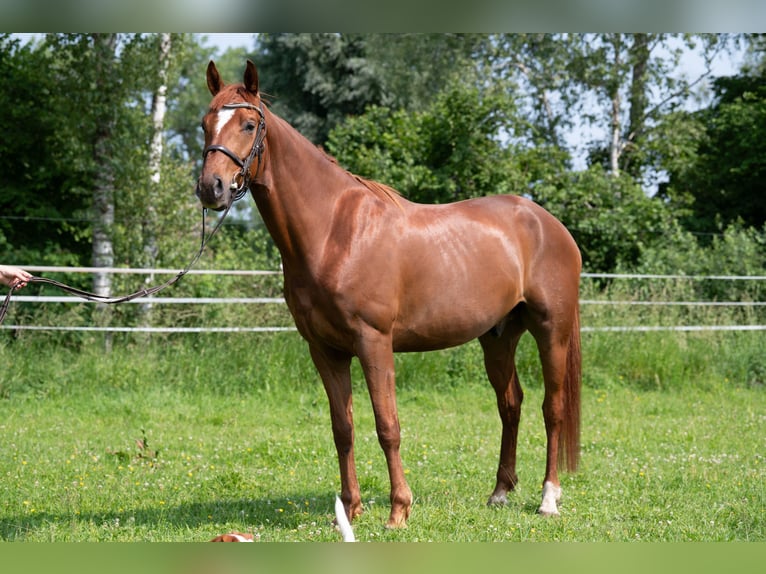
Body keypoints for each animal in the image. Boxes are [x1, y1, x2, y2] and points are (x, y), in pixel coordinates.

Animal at [197, 60, 582, 528]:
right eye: (205, 124)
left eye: (249, 125)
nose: (211, 188)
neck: (335, 232)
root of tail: (549, 224)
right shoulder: (325, 350)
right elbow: (342, 428)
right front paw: (349, 509)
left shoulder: (374, 342)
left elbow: (387, 426)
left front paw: (399, 509)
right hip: (498, 337)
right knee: (511, 405)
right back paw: (500, 493)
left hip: (551, 331)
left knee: (552, 408)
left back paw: (548, 498)